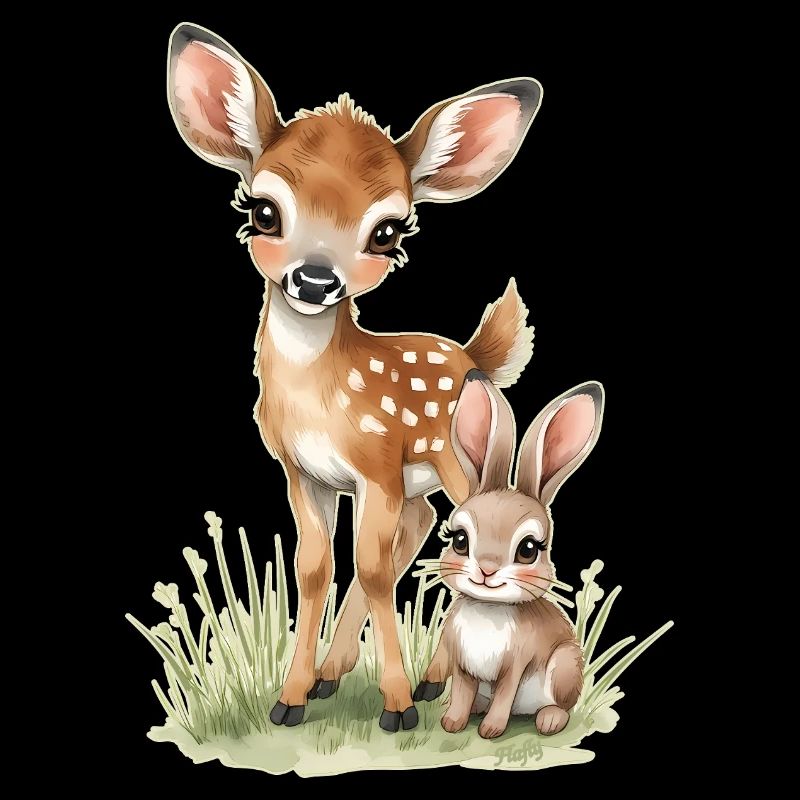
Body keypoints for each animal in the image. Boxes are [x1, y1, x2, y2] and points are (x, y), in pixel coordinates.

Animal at [167, 22, 542, 733]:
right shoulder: (303, 473)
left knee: (445, 534)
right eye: (263, 211)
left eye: (387, 231)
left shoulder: (377, 463)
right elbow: (314, 567)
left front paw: (397, 707)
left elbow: (368, 566)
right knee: (422, 524)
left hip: (452, 460)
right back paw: (333, 675)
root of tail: (473, 354)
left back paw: (426, 682)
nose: (316, 278)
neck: (325, 397)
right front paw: (289, 697)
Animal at [412, 369, 604, 739]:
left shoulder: (515, 666)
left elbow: (504, 696)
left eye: (529, 549)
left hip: (564, 665)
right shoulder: (463, 665)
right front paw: (453, 723)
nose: (487, 570)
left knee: (561, 706)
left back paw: (548, 720)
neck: (488, 609)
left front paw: (490, 731)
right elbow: (462, 691)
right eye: (460, 540)